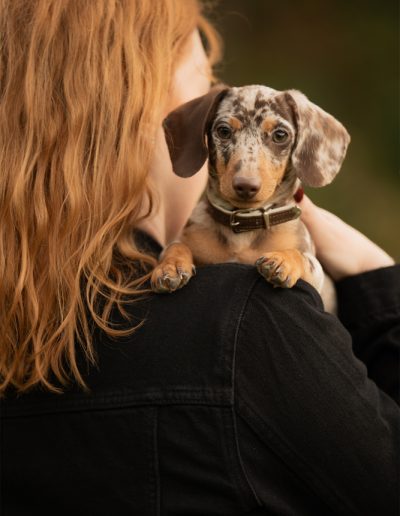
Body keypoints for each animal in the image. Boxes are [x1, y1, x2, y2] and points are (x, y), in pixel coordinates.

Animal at [150, 84, 350, 310]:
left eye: (280, 135)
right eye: (223, 131)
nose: (246, 185)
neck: (244, 226)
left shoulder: (316, 274)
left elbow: (300, 255)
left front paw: (283, 260)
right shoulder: (185, 239)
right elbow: (176, 245)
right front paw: (171, 266)